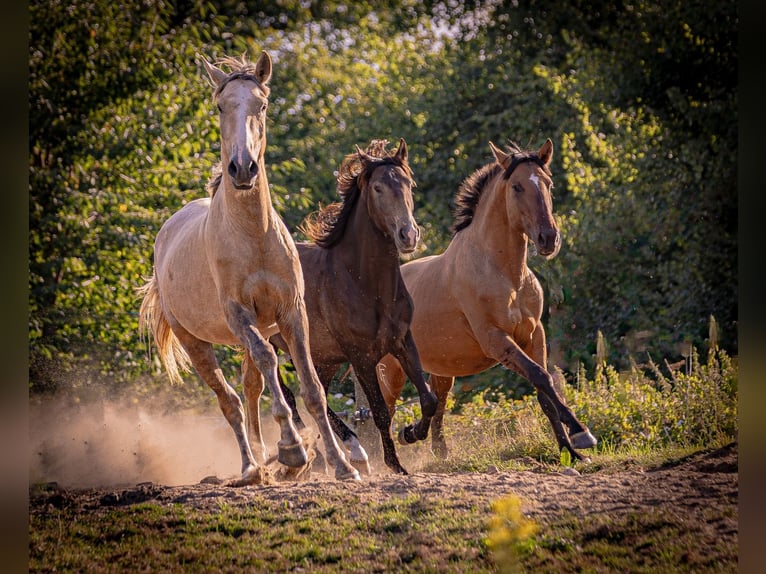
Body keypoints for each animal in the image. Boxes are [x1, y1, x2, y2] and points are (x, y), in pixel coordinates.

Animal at [138, 52, 360, 485]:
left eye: (263, 104)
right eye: (220, 107)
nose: (243, 168)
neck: (253, 237)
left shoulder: (291, 313)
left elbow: (311, 387)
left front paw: (342, 466)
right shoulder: (241, 316)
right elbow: (270, 363)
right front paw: (292, 449)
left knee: (250, 388)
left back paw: (262, 460)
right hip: (196, 342)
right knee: (230, 400)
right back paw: (250, 467)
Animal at [271, 139, 438, 475]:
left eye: (409, 184)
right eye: (377, 188)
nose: (408, 235)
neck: (364, 284)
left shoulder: (403, 342)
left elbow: (428, 399)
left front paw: (411, 433)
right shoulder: (361, 357)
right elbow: (380, 412)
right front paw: (395, 465)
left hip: (323, 358)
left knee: (316, 395)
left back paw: (347, 451)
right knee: (291, 395)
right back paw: (323, 451)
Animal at [376, 138, 597, 462]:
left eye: (548, 183)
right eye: (517, 187)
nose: (548, 238)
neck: (507, 276)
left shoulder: (534, 336)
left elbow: (545, 391)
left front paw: (570, 450)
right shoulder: (496, 340)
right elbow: (542, 377)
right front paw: (582, 434)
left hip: (443, 367)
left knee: (436, 400)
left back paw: (426, 442)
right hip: (392, 370)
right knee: (387, 410)